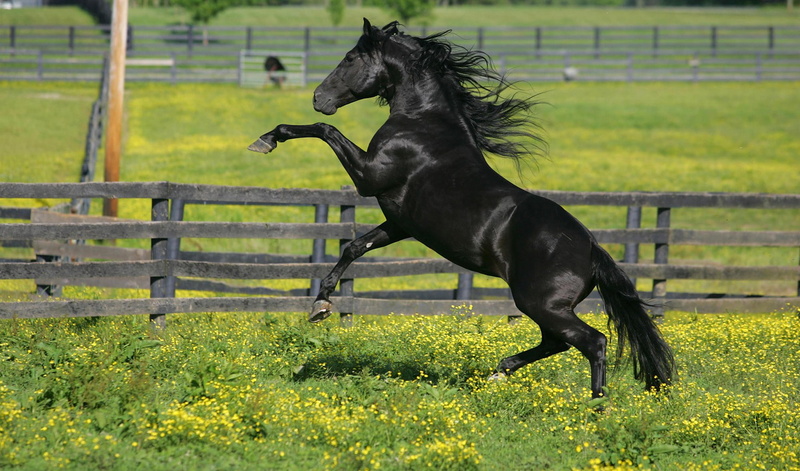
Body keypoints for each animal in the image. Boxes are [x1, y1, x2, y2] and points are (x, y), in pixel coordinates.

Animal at [248, 19, 675, 398]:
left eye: (351, 57)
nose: (318, 98)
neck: (423, 123)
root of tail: (591, 248)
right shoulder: (400, 223)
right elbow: (354, 246)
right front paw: (320, 303)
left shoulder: (369, 177)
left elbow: (325, 131)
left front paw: (267, 139)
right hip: (545, 307)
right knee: (557, 343)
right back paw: (500, 372)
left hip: (541, 303)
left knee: (592, 341)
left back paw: (596, 408)